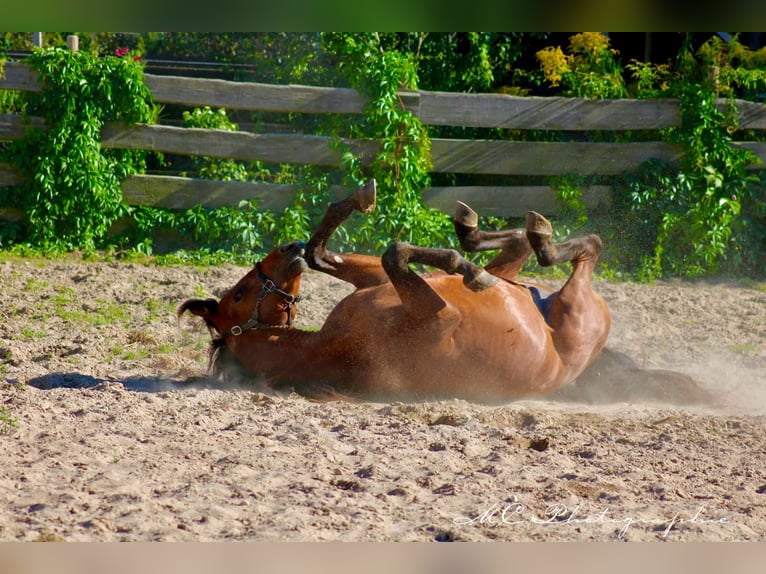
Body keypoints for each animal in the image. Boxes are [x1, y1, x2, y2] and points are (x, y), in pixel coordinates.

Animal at [180, 182, 612, 402]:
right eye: (239, 293)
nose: (288, 248)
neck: (327, 347)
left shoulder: (374, 283)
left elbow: (324, 254)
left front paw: (355, 200)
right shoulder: (442, 316)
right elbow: (395, 252)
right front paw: (466, 270)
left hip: (516, 276)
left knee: (519, 248)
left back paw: (476, 229)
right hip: (575, 308)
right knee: (585, 249)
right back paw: (533, 241)